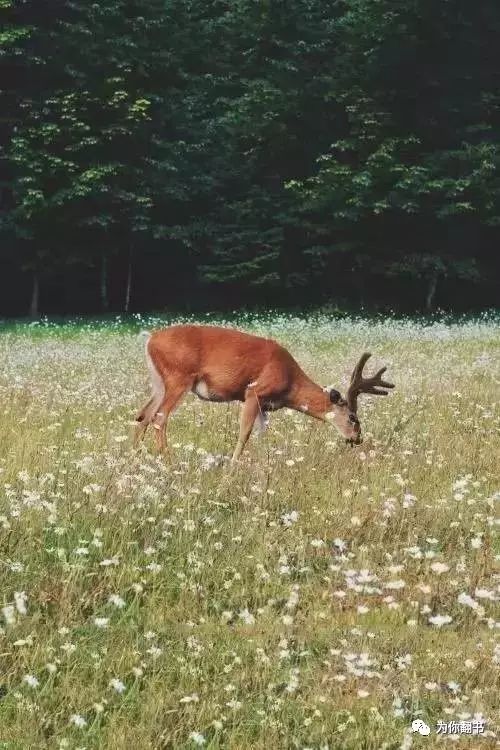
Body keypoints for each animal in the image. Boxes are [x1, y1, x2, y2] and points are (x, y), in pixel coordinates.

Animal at [134, 324, 394, 462]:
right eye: (353, 418)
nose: (357, 439)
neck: (290, 383)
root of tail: (150, 339)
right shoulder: (254, 392)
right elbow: (245, 434)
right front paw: (233, 467)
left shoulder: (265, 406)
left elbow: (261, 435)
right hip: (179, 377)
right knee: (159, 417)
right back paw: (168, 459)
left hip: (159, 382)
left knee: (143, 415)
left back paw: (134, 455)